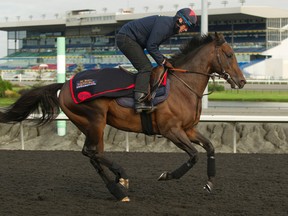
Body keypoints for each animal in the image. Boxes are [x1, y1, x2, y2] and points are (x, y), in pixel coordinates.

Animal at [0, 32, 246, 202]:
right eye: (229, 54)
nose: (242, 81)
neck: (182, 86)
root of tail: (66, 84)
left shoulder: (188, 129)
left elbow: (210, 147)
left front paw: (209, 184)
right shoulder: (171, 130)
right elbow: (194, 155)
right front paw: (167, 175)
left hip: (91, 125)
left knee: (94, 154)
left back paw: (118, 187)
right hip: (94, 120)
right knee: (91, 152)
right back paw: (120, 180)